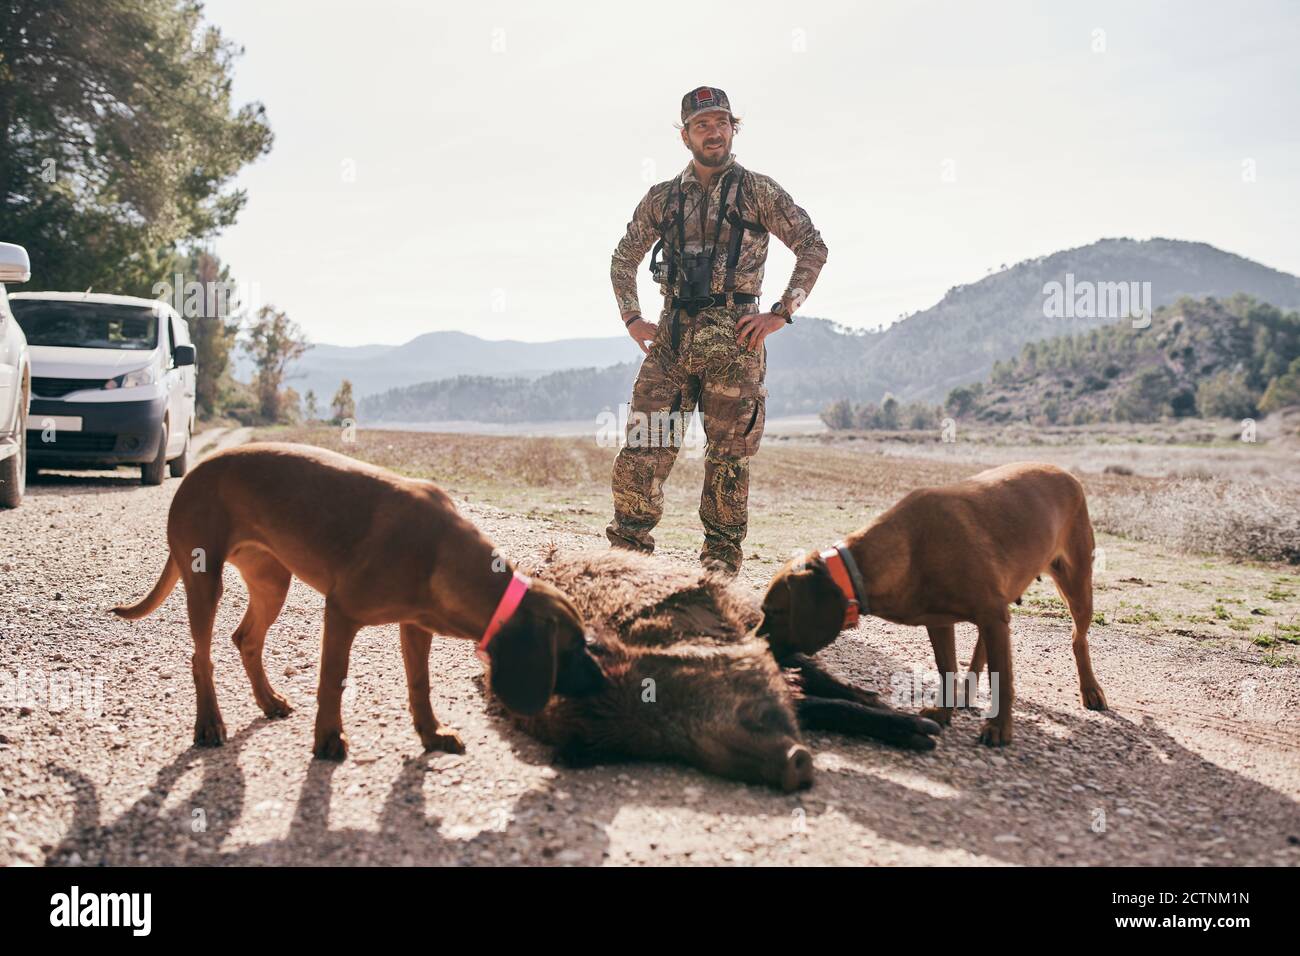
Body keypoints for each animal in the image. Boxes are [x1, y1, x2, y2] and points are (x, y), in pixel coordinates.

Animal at [109, 442, 605, 764]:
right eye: (574, 648)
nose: (603, 681)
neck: (441, 551)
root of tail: (194, 470)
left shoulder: (415, 626)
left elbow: (420, 685)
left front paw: (431, 733)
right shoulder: (341, 613)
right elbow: (333, 680)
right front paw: (329, 739)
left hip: (273, 581)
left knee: (245, 639)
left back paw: (268, 700)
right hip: (204, 577)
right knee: (202, 657)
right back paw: (210, 723)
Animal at [754, 463, 1107, 749]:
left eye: (773, 612)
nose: (753, 647)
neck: (907, 550)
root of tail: (1065, 472)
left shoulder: (990, 614)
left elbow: (1003, 678)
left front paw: (999, 728)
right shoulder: (941, 622)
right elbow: (947, 669)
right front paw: (943, 709)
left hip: (1076, 585)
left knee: (1077, 639)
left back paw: (1090, 689)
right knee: (985, 644)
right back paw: (968, 690)